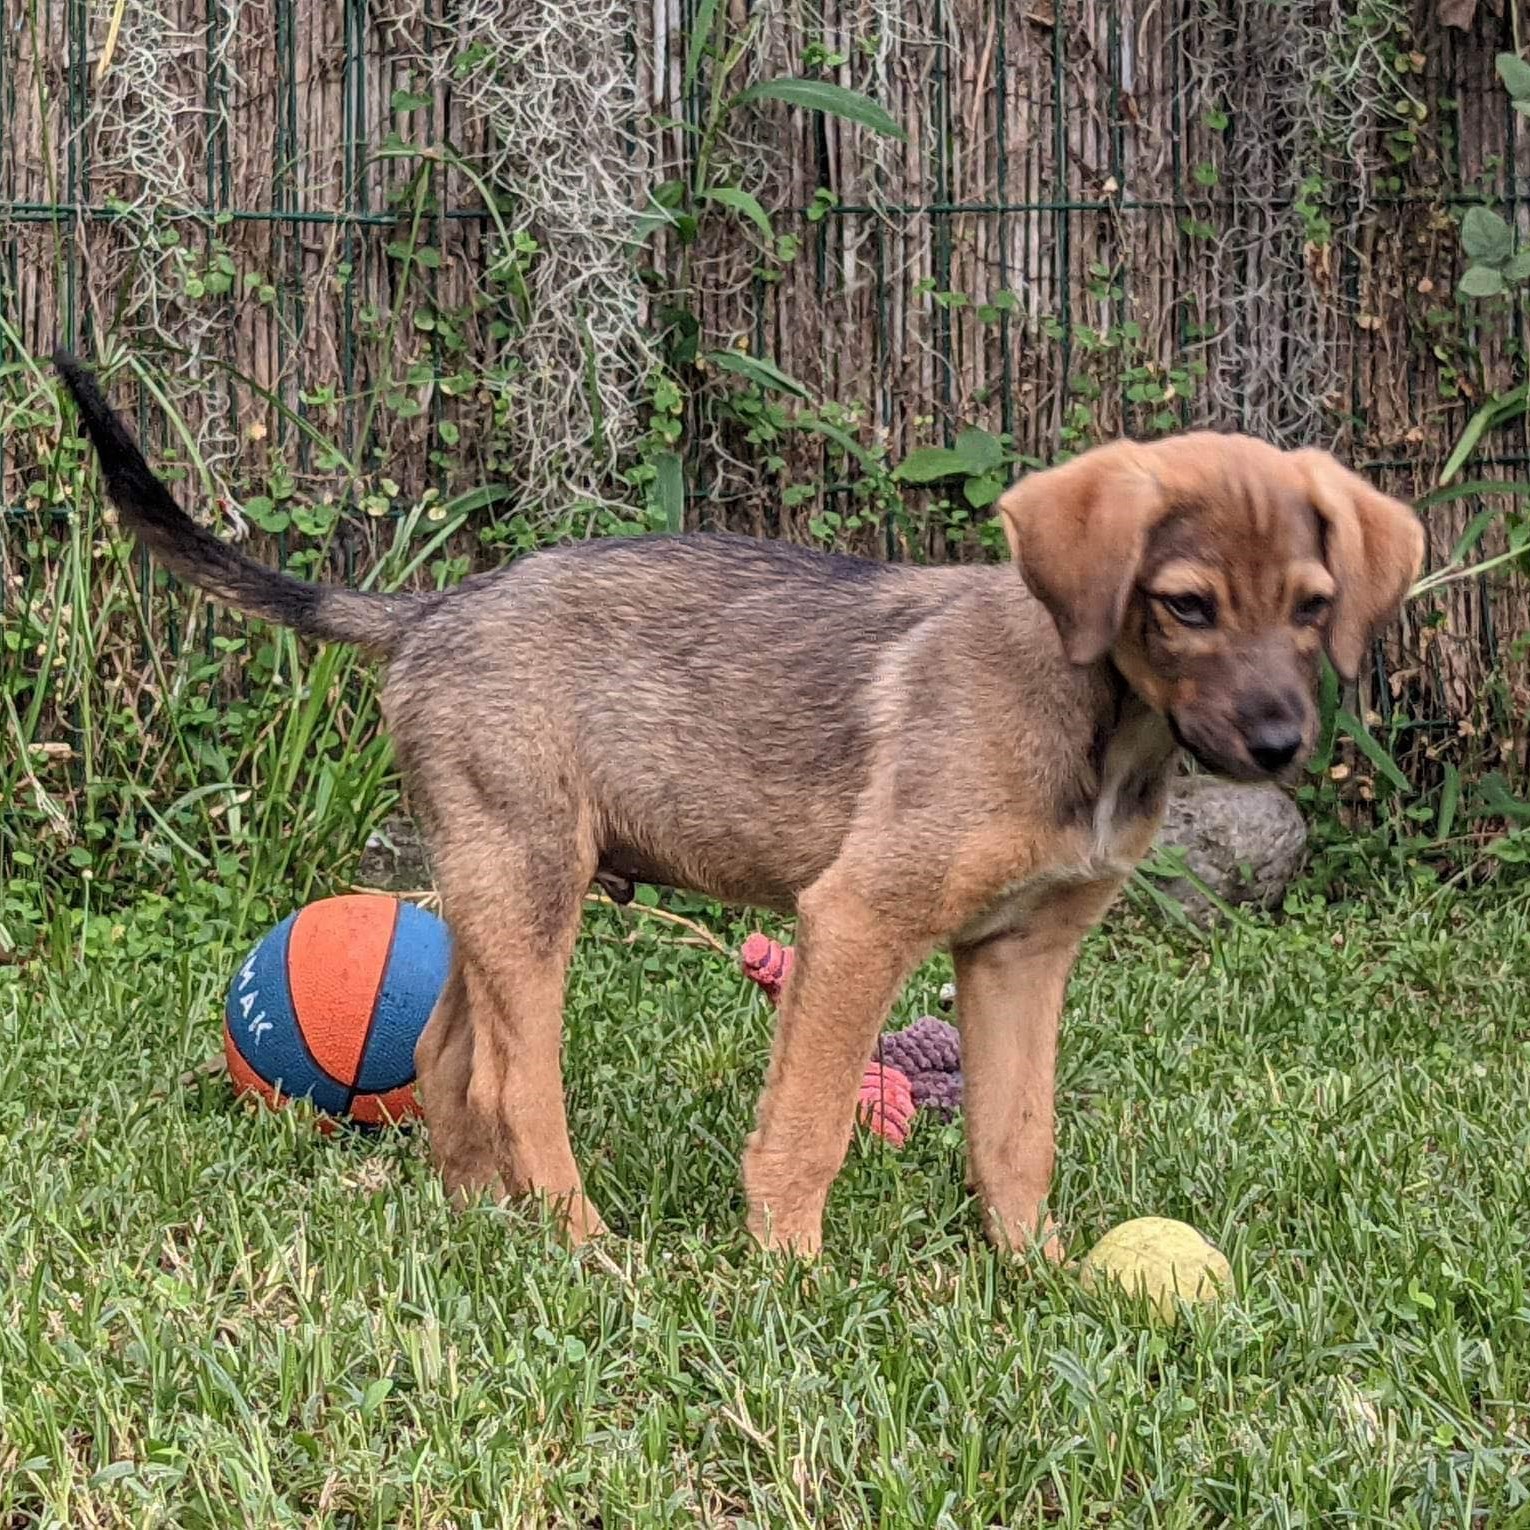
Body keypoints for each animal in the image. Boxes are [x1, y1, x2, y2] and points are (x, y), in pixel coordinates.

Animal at [56, 351, 1419, 1260]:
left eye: (1311, 606)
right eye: (1185, 604)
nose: (1280, 743)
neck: (1099, 715)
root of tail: (433, 608)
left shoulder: (1024, 951)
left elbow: (1015, 1130)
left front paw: (1038, 1275)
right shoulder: (861, 917)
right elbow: (809, 1121)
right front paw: (791, 1273)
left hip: (495, 882)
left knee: (450, 1059)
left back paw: (481, 1221)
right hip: (532, 878)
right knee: (514, 1085)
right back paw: (587, 1246)